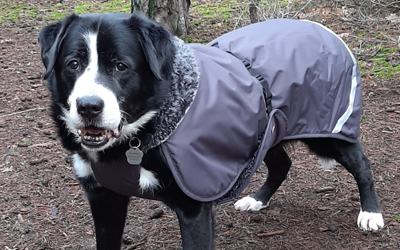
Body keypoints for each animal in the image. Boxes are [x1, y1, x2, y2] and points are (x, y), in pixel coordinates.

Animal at [39, 12, 382, 249]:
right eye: (72, 64)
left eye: (120, 66)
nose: (88, 106)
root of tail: (322, 29)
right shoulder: (104, 199)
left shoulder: (194, 209)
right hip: (267, 130)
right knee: (282, 164)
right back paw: (258, 199)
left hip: (326, 132)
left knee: (362, 165)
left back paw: (371, 213)